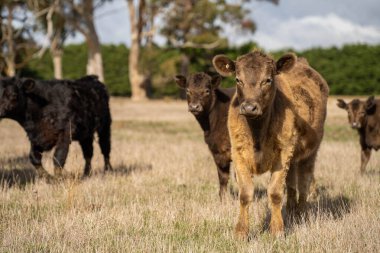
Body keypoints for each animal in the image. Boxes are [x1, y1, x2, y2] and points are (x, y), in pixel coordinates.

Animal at [174, 72, 235, 200]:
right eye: (188, 90)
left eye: (207, 90)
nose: (194, 106)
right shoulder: (217, 151)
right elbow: (223, 177)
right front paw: (222, 200)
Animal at [214, 52, 330, 239]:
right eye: (238, 79)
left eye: (267, 80)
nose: (249, 107)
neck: (257, 133)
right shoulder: (238, 154)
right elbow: (245, 194)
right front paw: (241, 232)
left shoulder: (283, 154)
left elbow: (275, 193)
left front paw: (276, 230)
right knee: (291, 184)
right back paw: (291, 212)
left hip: (310, 152)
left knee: (304, 183)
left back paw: (301, 214)